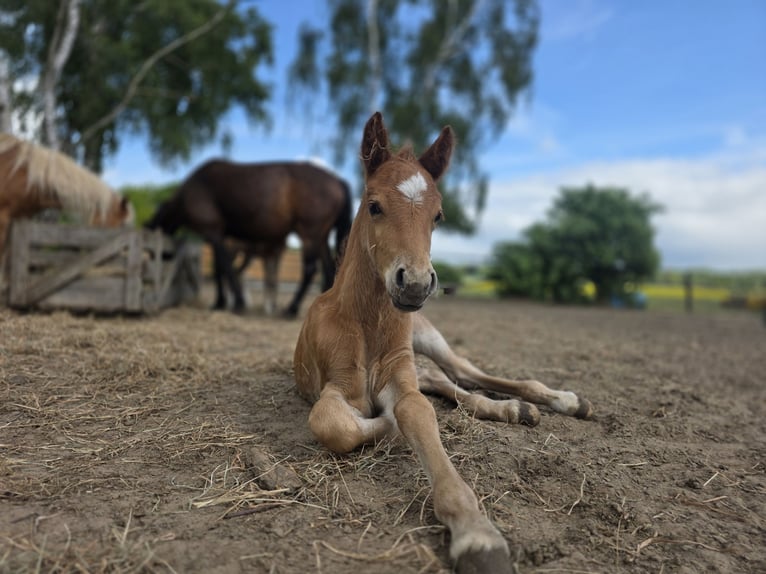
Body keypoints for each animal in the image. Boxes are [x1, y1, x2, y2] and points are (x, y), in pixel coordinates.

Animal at [146, 160, 352, 317]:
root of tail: (336, 180)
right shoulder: (220, 236)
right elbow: (219, 268)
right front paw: (219, 302)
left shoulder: (213, 233)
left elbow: (225, 267)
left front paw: (237, 302)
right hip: (321, 238)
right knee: (329, 270)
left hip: (310, 235)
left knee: (310, 270)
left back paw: (291, 310)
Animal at [294, 112, 593, 573]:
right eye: (374, 205)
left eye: (438, 215)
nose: (416, 284)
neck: (366, 323)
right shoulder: (340, 386)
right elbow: (336, 423)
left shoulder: (399, 375)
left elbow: (416, 411)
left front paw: (476, 534)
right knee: (444, 384)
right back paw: (514, 410)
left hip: (429, 339)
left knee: (463, 374)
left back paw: (560, 401)